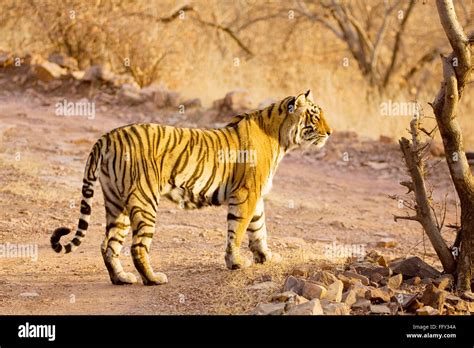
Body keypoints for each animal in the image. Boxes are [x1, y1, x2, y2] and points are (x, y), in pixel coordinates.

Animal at [50, 90, 332, 286]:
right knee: (137, 246)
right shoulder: (246, 195)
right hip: (144, 200)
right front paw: (237, 263)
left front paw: (266, 257)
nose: (330, 132)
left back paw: (122, 278)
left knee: (108, 244)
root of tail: (106, 137)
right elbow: (239, 231)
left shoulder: (256, 196)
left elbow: (259, 229)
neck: (281, 137)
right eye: (315, 116)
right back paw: (153, 279)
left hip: (116, 202)